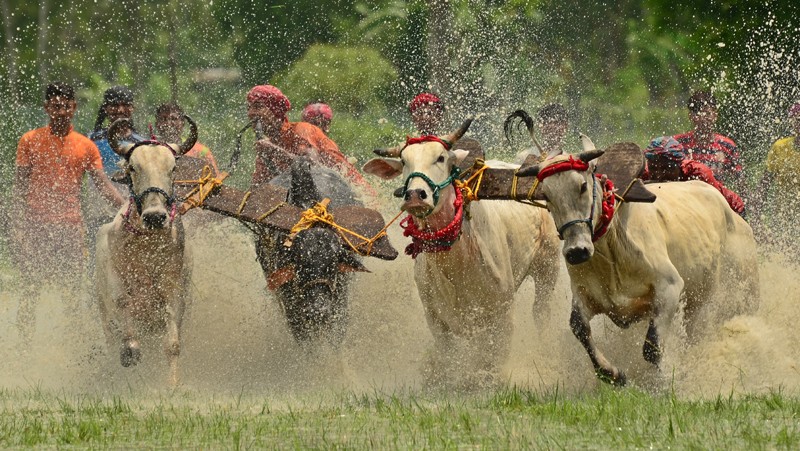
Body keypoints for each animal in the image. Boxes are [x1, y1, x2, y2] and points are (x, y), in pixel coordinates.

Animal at [95, 117, 196, 387]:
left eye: (173, 168)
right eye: (132, 167)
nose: (154, 216)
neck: (147, 247)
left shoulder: (175, 290)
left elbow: (173, 345)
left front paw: (172, 385)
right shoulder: (115, 275)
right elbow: (123, 302)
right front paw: (130, 348)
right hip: (102, 307)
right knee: (110, 336)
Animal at [363, 119, 562, 387]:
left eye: (440, 157)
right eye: (404, 161)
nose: (415, 195)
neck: (455, 260)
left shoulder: (502, 311)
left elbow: (493, 358)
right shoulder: (436, 319)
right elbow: (450, 357)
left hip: (548, 266)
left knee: (541, 313)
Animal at [515, 136, 760, 386]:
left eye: (582, 186)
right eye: (546, 195)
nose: (577, 251)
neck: (611, 249)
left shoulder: (669, 287)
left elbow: (651, 348)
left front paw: (664, 379)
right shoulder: (585, 295)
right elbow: (579, 328)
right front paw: (614, 373)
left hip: (741, 288)